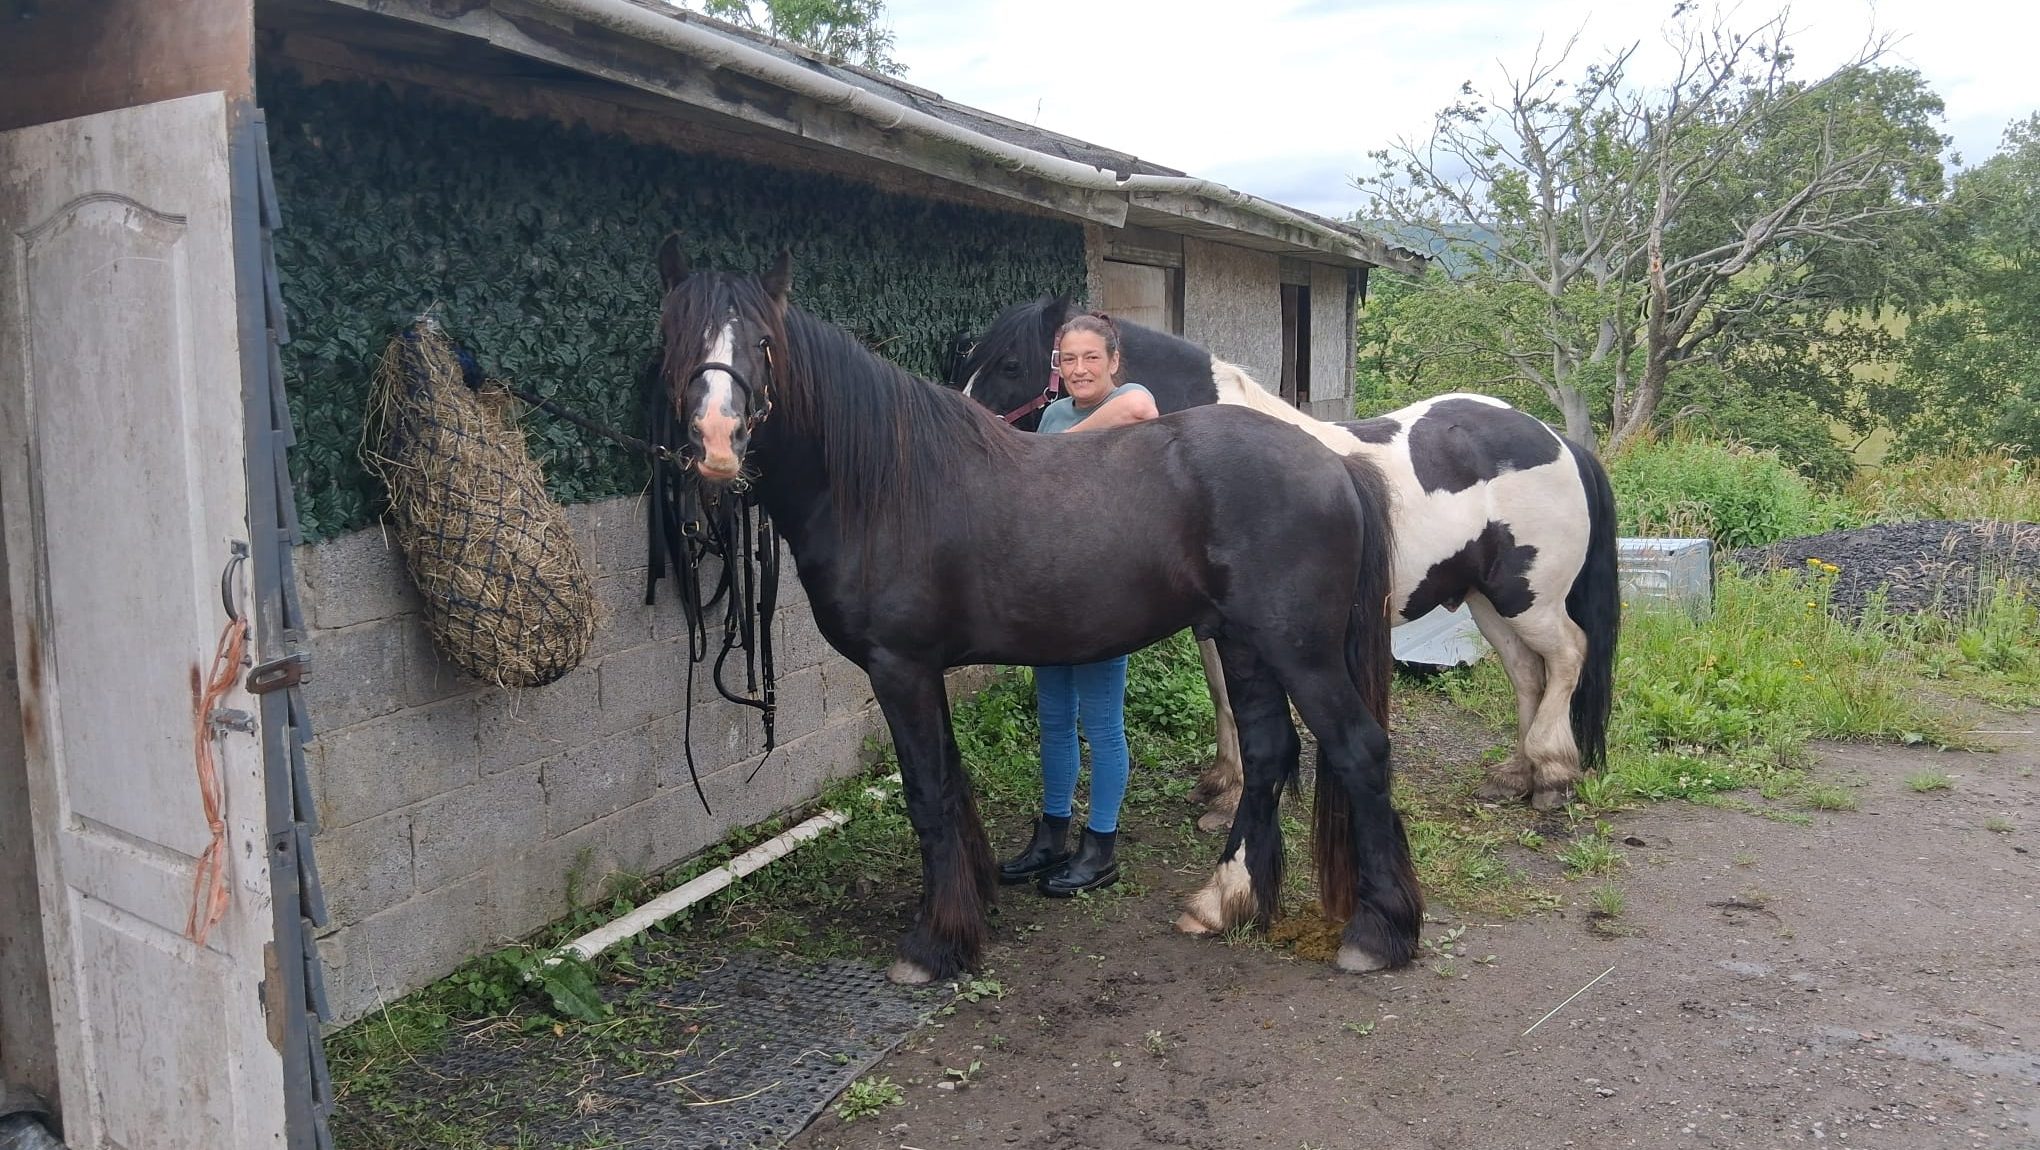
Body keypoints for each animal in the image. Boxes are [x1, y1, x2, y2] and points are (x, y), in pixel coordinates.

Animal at [650, 236, 1419, 984]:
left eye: (763, 342)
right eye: (675, 337)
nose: (716, 440)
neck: (885, 486)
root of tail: (1333, 463)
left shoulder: (899, 667)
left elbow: (926, 792)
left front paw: (934, 944)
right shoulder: (921, 672)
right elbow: (949, 779)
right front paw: (972, 904)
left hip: (1300, 651)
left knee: (1358, 750)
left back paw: (1379, 933)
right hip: (1242, 643)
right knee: (1268, 753)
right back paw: (1226, 901)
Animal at [952, 297, 1619, 814]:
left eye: (1011, 363)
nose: (969, 432)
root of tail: (1558, 441)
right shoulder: (1214, 626)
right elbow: (1222, 695)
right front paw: (1224, 785)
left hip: (1528, 597)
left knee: (1568, 656)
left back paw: (1553, 776)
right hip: (1485, 599)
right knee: (1528, 673)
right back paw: (1514, 776)